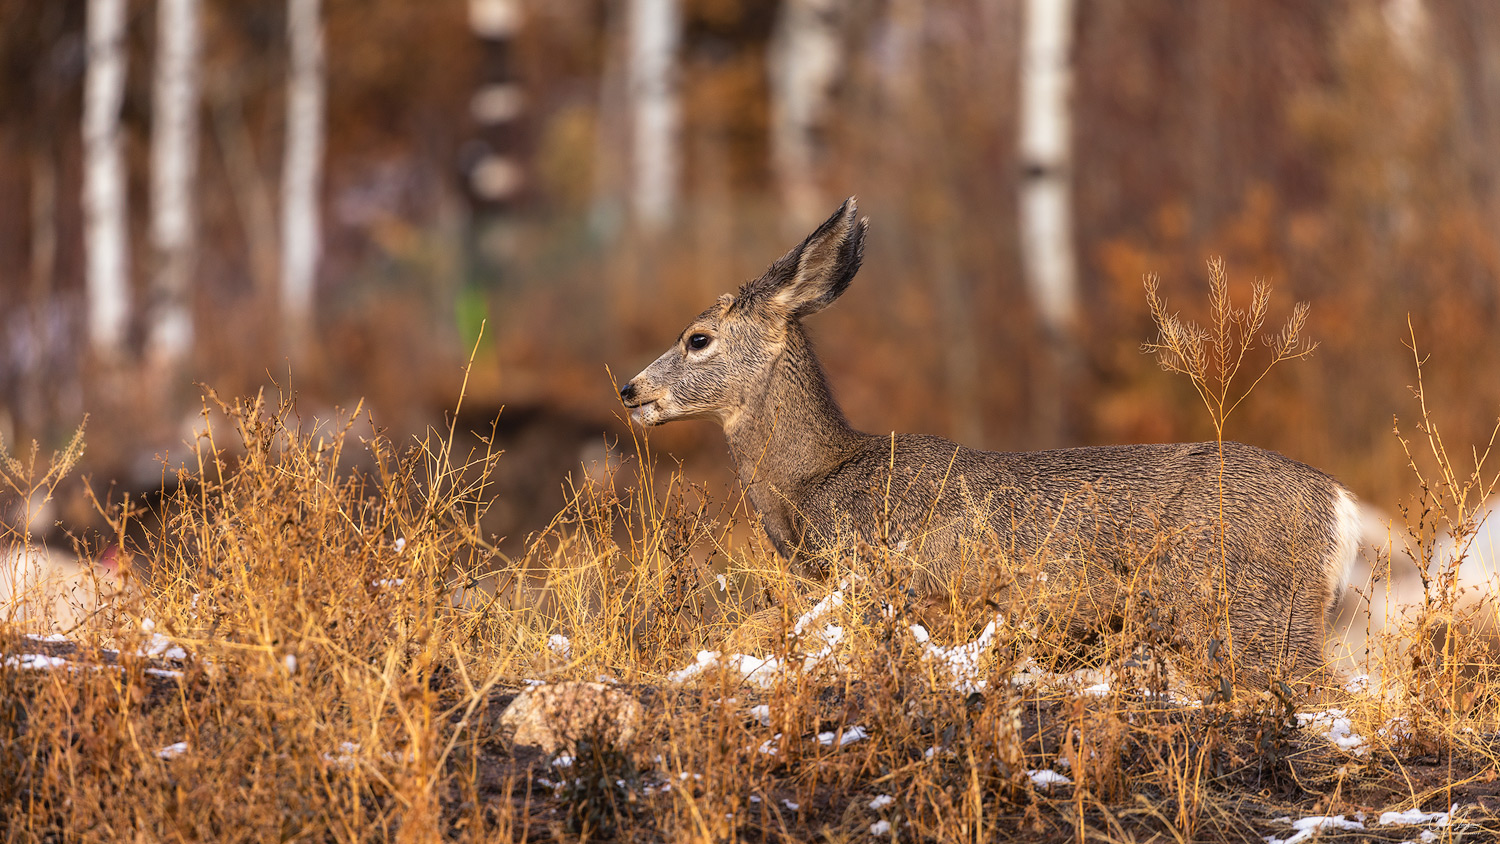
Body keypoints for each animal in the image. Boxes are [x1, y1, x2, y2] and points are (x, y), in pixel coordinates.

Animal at [615, 197, 1368, 686]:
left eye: (698, 338)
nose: (630, 390)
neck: (815, 481)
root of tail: (1342, 506)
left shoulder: (877, 578)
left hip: (1252, 611)